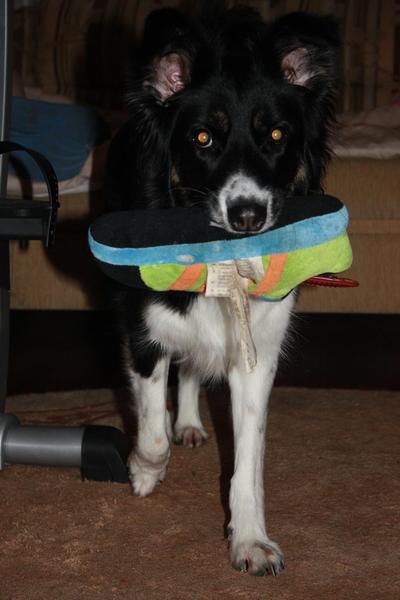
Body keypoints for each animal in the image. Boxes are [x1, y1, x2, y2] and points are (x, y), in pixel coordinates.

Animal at [105, 7, 339, 576]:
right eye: (202, 138)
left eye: (276, 134)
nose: (248, 215)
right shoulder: (141, 328)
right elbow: (151, 426)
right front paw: (143, 470)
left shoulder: (258, 348)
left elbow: (248, 461)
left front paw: (251, 541)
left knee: (192, 368)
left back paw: (191, 420)